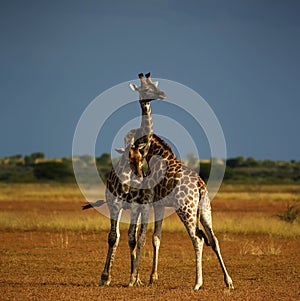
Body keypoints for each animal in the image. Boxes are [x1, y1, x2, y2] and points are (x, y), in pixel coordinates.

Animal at [127, 135, 233, 290]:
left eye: (136, 156)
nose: (138, 174)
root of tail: (200, 186)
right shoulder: (159, 205)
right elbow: (156, 238)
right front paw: (153, 277)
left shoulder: (147, 201)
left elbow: (141, 238)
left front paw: (133, 279)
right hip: (205, 210)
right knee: (213, 240)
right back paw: (228, 281)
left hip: (186, 210)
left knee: (198, 239)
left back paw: (197, 283)